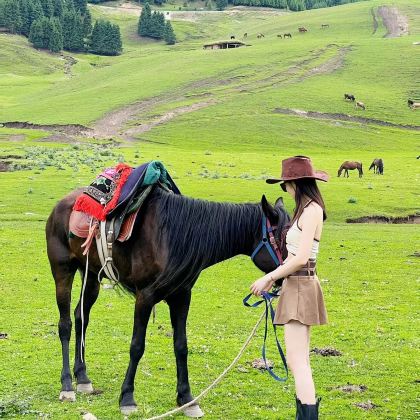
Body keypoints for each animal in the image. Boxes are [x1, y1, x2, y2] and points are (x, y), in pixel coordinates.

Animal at [46, 186, 288, 414]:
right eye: (286, 237)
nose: (292, 274)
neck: (174, 236)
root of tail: (61, 205)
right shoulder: (145, 297)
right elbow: (137, 346)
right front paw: (127, 398)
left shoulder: (182, 296)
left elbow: (181, 345)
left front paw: (187, 399)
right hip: (62, 270)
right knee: (65, 324)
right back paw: (67, 385)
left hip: (91, 275)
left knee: (81, 317)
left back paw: (82, 378)